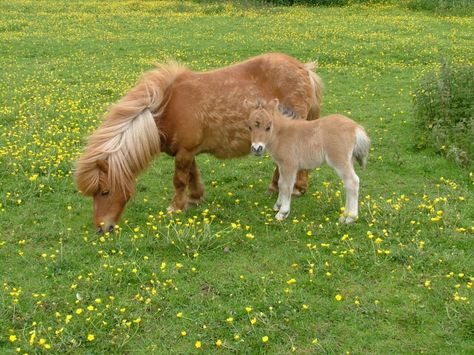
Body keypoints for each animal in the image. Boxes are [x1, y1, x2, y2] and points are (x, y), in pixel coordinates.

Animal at [75, 52, 322, 231]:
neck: (167, 108)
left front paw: (175, 208)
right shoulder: (186, 151)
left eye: (105, 191)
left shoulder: (184, 152)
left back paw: (295, 189)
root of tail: (304, 69)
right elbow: (192, 174)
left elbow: (179, 180)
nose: (102, 228)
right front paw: (194, 198)